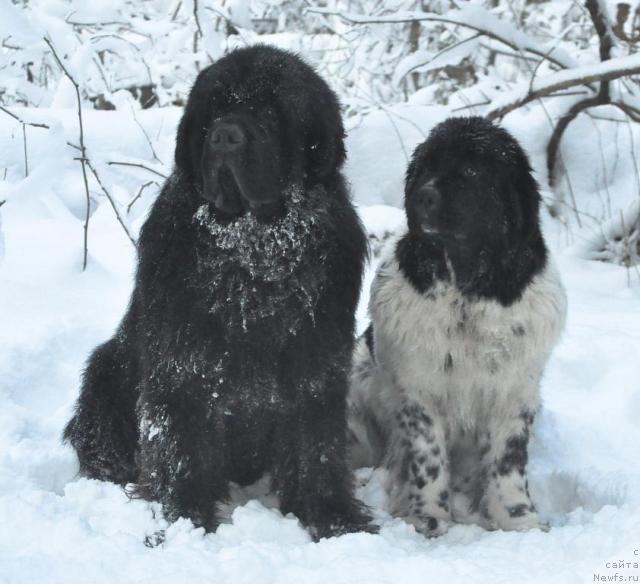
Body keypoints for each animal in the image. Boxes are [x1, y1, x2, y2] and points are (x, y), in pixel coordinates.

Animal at [63, 44, 376, 540]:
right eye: (214, 111)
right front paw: (181, 519)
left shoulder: (316, 366)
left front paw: (334, 520)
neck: (252, 256)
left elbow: (317, 447)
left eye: (270, 111)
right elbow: (179, 446)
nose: (226, 137)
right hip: (105, 369)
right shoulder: (182, 364)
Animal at [350, 117, 564, 540]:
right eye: (426, 168)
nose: (423, 197)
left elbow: (508, 463)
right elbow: (428, 458)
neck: (467, 290)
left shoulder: (516, 392)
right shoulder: (419, 392)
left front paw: (519, 522)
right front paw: (430, 519)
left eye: (471, 171)